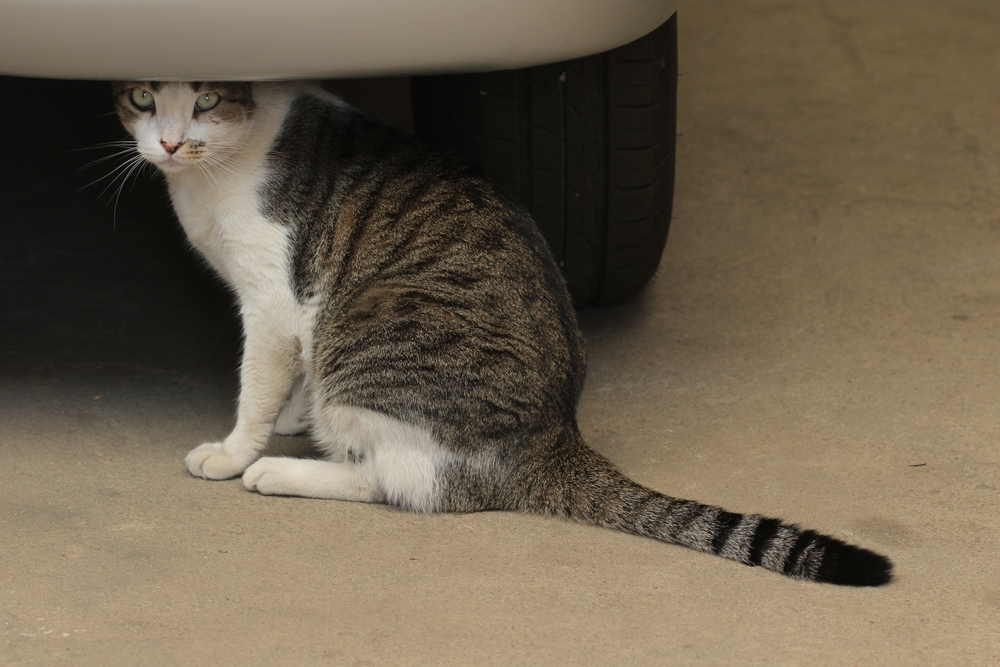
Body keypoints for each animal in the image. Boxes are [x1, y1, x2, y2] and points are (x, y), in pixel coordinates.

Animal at [113, 81, 896, 588]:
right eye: (144, 97)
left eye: (206, 99)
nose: (171, 142)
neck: (215, 166)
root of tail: (556, 435)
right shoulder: (297, 310)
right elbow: (294, 373)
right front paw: (292, 413)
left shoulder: (273, 300)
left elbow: (257, 384)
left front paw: (236, 448)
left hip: (369, 332)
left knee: (410, 482)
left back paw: (277, 472)